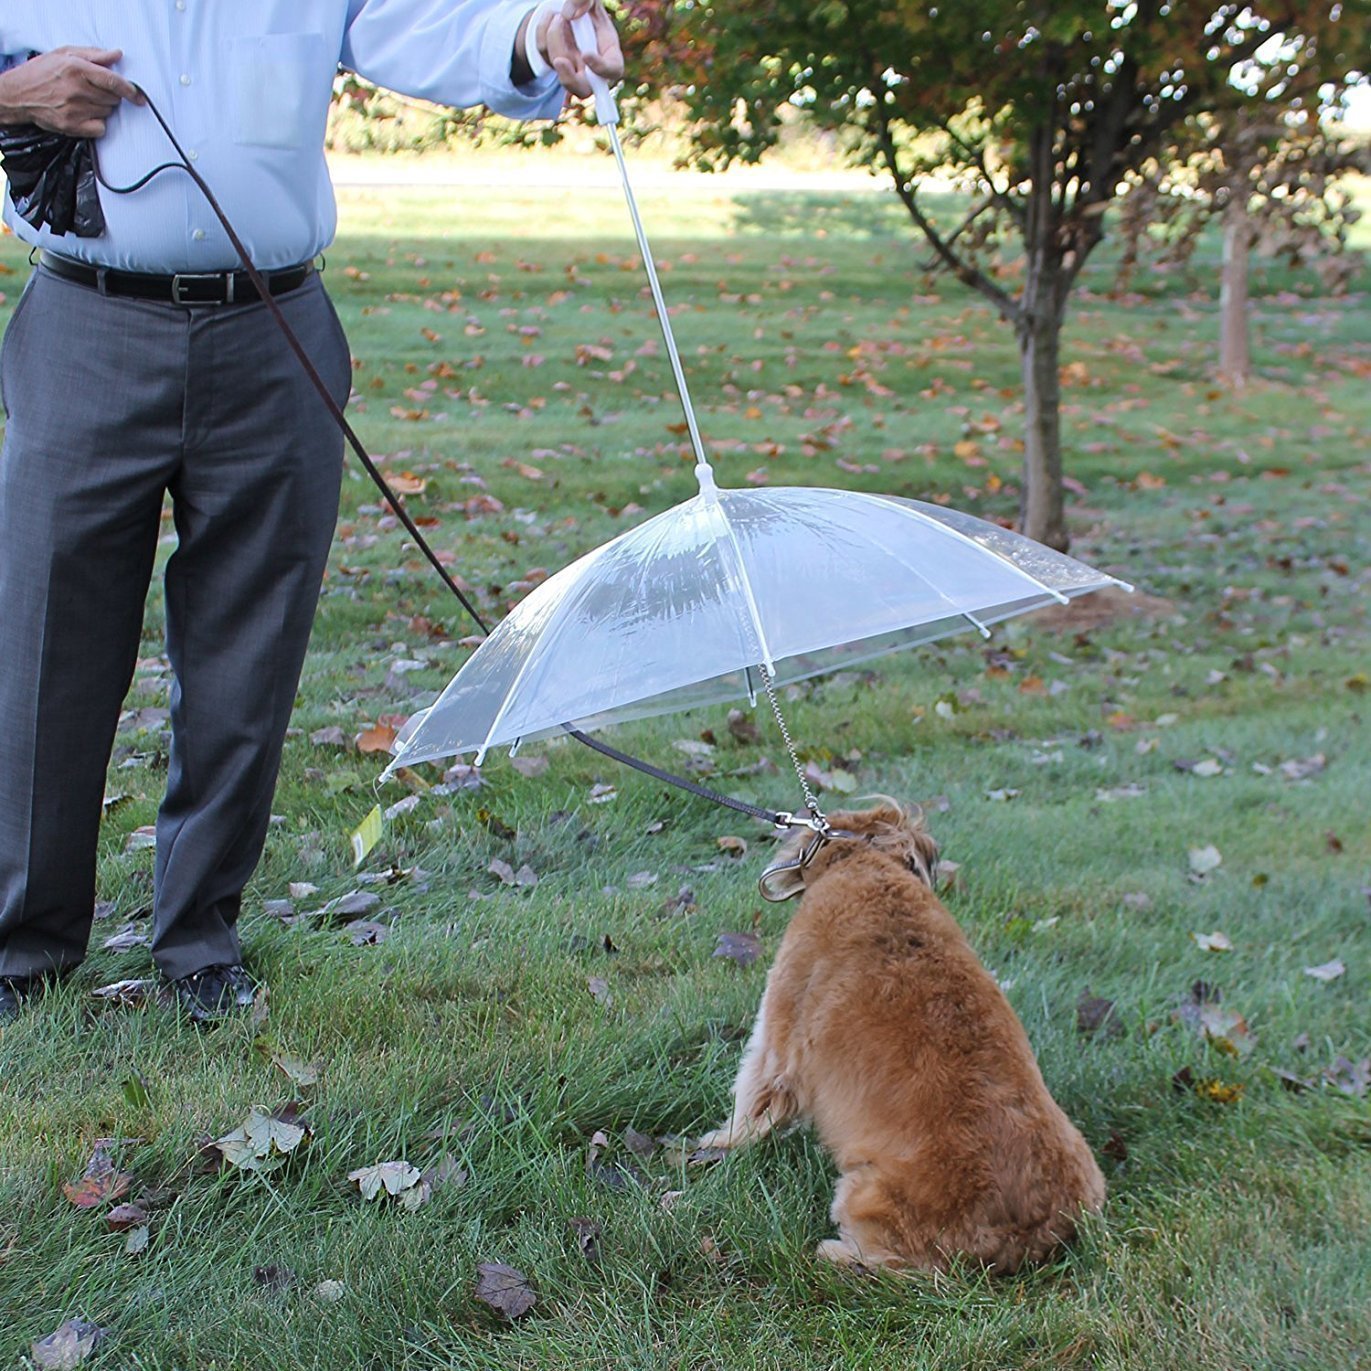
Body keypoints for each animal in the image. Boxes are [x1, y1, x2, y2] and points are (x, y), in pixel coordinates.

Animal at [701, 800, 1107, 1272]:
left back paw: (835, 1253)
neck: (864, 864)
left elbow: (751, 1100)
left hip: (865, 1196)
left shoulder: (778, 1039)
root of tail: (1032, 1233)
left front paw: (716, 1144)